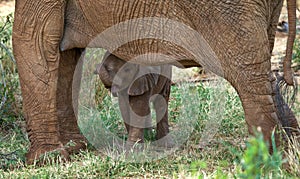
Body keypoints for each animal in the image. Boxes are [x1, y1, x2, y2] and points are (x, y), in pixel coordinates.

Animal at [12, 0, 298, 164]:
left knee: (246, 74)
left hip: (229, 10)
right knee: (261, 68)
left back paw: (265, 160)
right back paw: (287, 148)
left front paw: (45, 160)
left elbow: (33, 37)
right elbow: (64, 52)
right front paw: (74, 150)